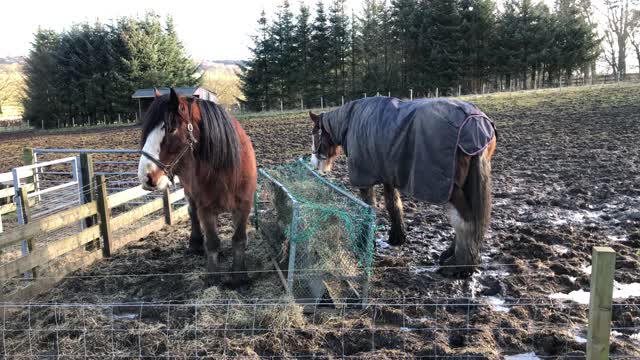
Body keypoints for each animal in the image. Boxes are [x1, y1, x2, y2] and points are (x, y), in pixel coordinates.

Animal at [136, 88, 256, 286]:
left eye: (172, 128)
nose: (146, 177)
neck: (224, 169)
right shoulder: (205, 208)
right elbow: (212, 242)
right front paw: (213, 278)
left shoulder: (244, 205)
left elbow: (239, 239)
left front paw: (239, 276)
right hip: (190, 193)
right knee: (192, 212)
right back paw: (195, 243)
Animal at [312, 97, 498, 278]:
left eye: (315, 134)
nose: (313, 161)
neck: (351, 120)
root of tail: (475, 122)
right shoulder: (388, 175)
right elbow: (393, 204)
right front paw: (397, 237)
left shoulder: (365, 180)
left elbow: (368, 208)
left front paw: (364, 242)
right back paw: (451, 255)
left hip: (453, 191)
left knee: (467, 220)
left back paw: (459, 265)